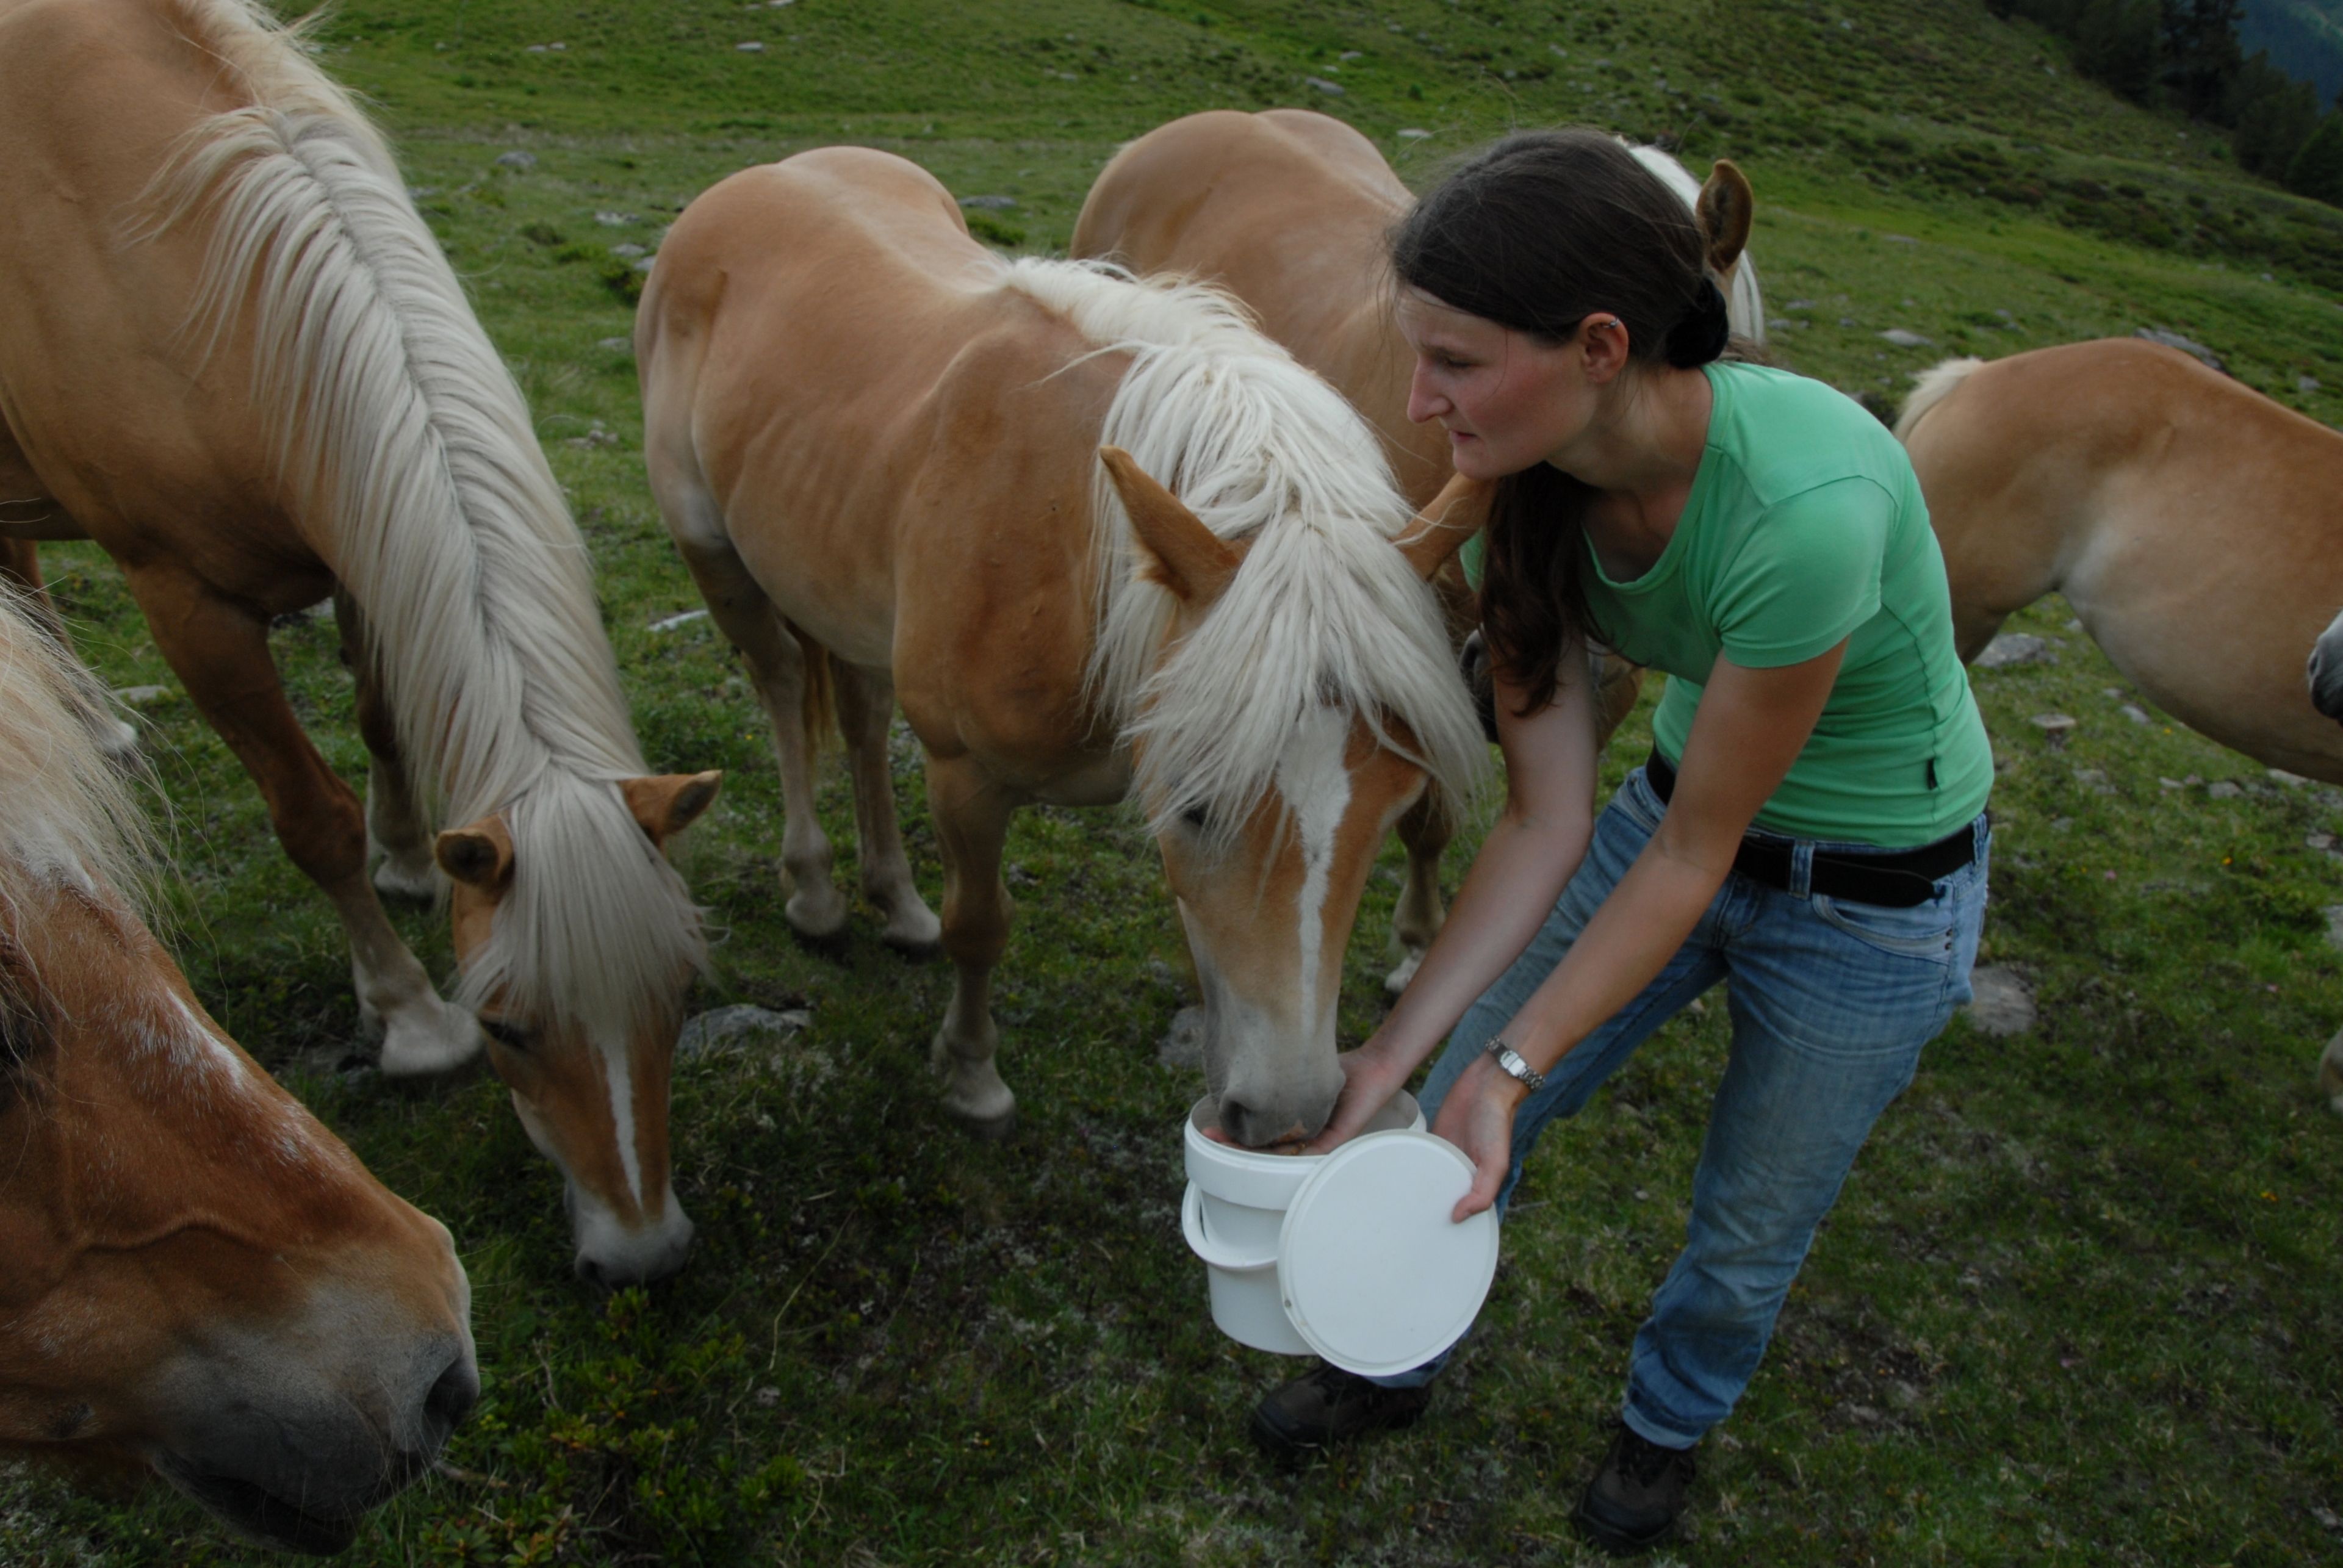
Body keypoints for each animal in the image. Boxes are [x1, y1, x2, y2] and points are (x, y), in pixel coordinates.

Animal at [0, 0, 719, 1284]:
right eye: (504, 1027)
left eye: (681, 995)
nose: (640, 1256)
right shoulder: (183, 599)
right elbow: (309, 815)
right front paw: (406, 1016)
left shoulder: (354, 539)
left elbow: (384, 719)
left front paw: (409, 857)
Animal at [637, 147, 1487, 1146]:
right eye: (1200, 807)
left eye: (1397, 809)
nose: (1288, 1116)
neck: (1069, 545)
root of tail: (760, 176)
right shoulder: (966, 773)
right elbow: (980, 926)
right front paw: (973, 1076)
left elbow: (1209, 951)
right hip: (714, 556)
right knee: (777, 685)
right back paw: (814, 892)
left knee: (860, 713)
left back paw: (896, 900)